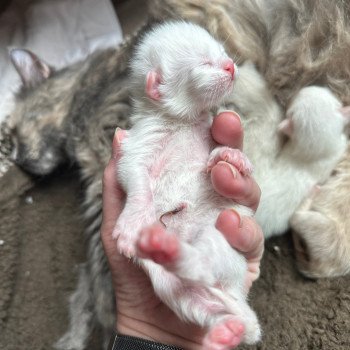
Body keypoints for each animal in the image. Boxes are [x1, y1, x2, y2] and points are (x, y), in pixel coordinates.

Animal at [114, 22, 260, 350]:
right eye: (204, 63)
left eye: (222, 52)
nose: (230, 65)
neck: (180, 119)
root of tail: (236, 295)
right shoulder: (143, 137)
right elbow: (134, 174)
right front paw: (131, 225)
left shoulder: (208, 132)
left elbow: (221, 153)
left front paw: (232, 156)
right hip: (171, 285)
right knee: (193, 295)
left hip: (216, 238)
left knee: (203, 266)